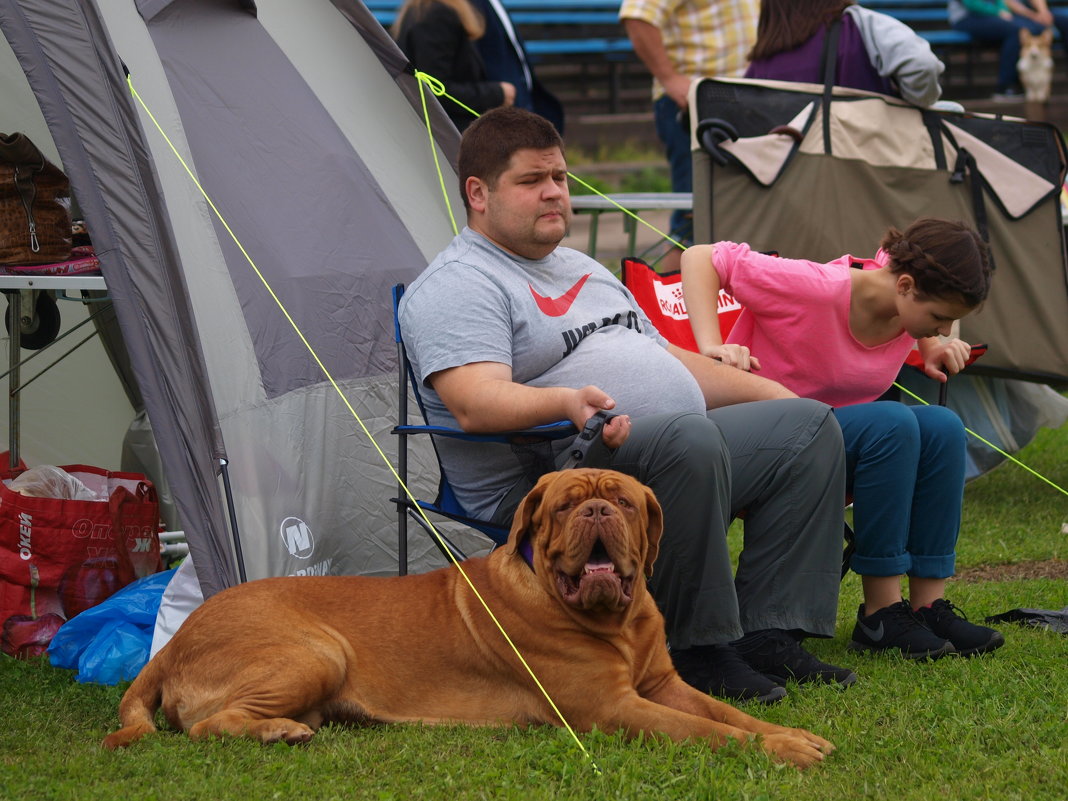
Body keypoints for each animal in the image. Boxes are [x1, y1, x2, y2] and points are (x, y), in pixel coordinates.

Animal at [100, 469, 833, 773]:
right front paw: (783, 752)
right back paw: (277, 730)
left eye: (622, 500)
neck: (614, 623)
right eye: (564, 505)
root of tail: (171, 645)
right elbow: (709, 732)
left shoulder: (661, 686)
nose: (597, 510)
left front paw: (792, 733)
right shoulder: (614, 708)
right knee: (204, 726)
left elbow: (726, 712)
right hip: (316, 651)